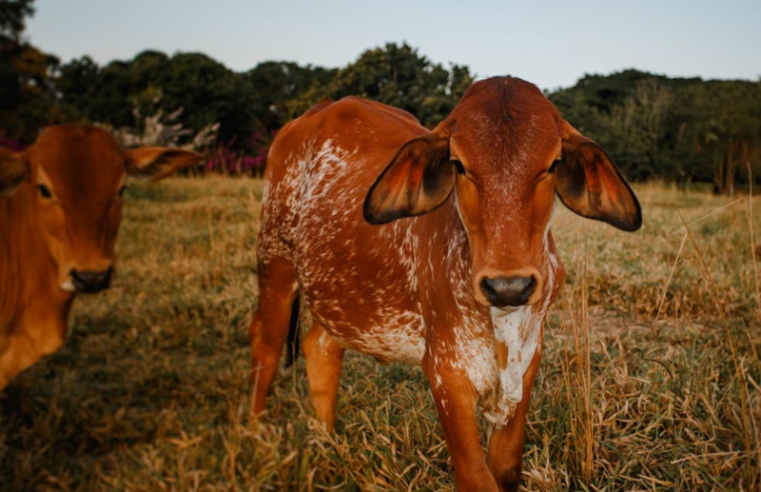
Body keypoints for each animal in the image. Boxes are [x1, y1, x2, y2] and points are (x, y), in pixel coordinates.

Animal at [251, 78, 640, 492]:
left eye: (552, 164)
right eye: (458, 164)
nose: (508, 287)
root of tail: (317, 110)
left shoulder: (528, 361)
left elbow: (506, 468)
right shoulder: (446, 372)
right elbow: (476, 478)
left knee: (320, 347)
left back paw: (326, 442)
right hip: (275, 261)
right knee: (266, 345)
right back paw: (255, 434)